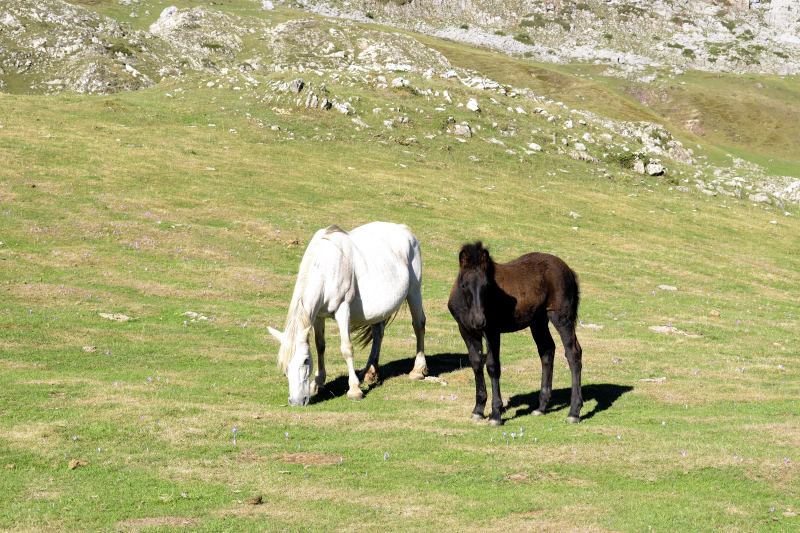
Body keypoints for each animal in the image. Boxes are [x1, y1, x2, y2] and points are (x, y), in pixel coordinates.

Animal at [268, 222, 428, 406]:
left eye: (305, 360)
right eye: (284, 366)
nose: (296, 401)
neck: (325, 267)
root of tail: (405, 229)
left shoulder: (343, 309)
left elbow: (346, 348)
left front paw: (354, 389)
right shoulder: (318, 316)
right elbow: (320, 345)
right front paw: (318, 382)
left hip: (414, 291)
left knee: (418, 325)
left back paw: (417, 370)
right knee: (378, 333)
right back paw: (370, 372)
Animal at [447, 242, 583, 426]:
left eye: (487, 286)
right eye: (464, 285)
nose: (479, 320)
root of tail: (569, 270)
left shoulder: (492, 331)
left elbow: (493, 366)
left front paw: (496, 414)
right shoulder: (466, 331)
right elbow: (476, 363)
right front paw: (478, 410)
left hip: (561, 317)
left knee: (573, 353)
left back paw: (574, 412)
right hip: (538, 321)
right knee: (547, 350)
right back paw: (541, 408)